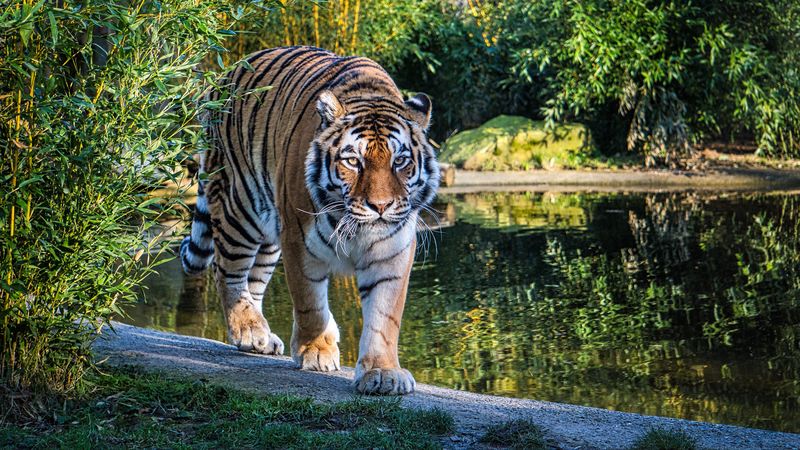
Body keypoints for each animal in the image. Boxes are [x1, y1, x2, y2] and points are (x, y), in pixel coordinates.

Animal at [179, 46, 440, 395]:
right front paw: (316, 352)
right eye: (353, 161)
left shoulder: (392, 250)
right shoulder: (299, 240)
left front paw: (382, 372)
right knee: (229, 272)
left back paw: (261, 337)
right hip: (240, 209)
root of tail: (223, 76)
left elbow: (385, 317)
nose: (380, 206)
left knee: (254, 281)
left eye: (400, 161)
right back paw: (248, 330)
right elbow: (310, 303)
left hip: (269, 232)